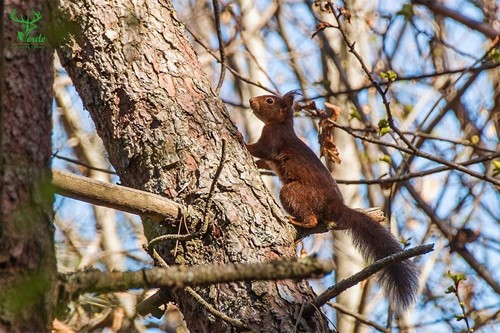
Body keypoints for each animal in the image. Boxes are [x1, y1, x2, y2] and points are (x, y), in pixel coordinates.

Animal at [245, 89, 418, 310]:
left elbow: (261, 150)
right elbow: (263, 161)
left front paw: (241, 138)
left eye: (269, 100)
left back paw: (298, 220)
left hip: (293, 192)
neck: (280, 123)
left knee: (311, 219)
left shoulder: (273, 137)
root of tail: (334, 205)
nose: (251, 101)